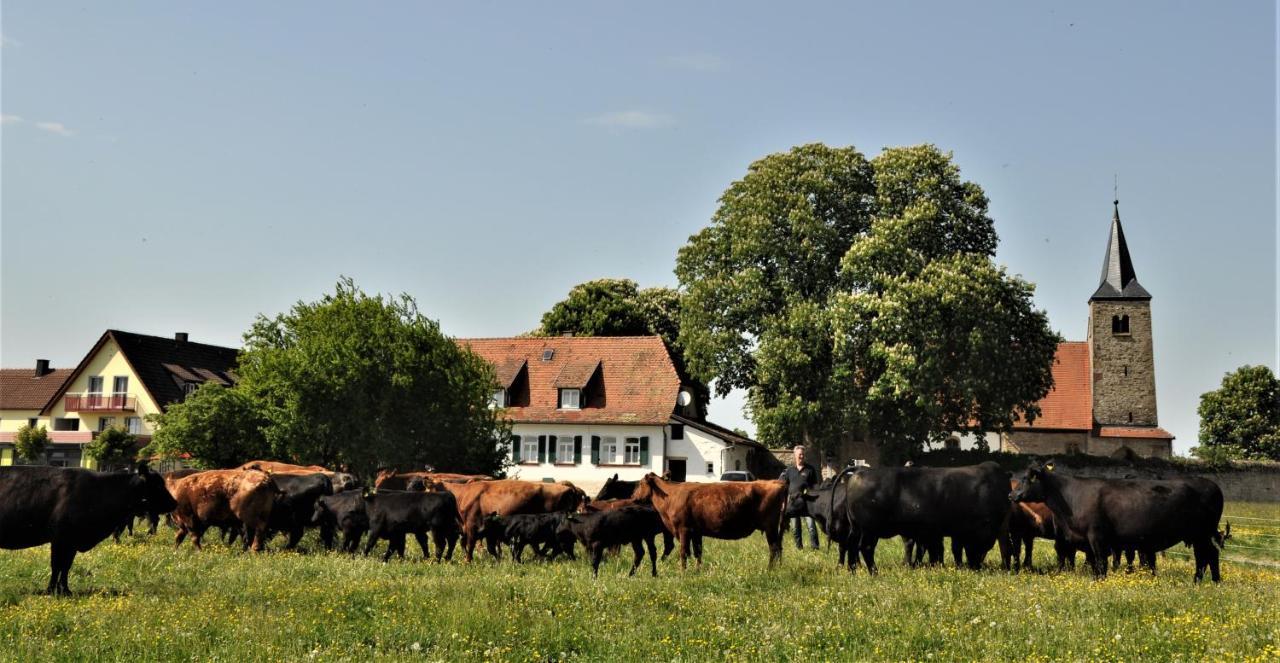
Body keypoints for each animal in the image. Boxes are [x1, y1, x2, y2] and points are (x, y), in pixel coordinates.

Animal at [0, 463, 175, 599]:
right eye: (157, 485)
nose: (174, 503)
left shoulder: (72, 542)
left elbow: (66, 566)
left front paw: (65, 590)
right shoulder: (60, 539)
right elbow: (56, 566)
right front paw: (50, 590)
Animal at [445, 481, 588, 563]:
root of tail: (568, 488)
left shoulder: (471, 527)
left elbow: (470, 545)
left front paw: (467, 561)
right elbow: (487, 548)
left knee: (555, 547)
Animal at [834, 463, 1013, 575]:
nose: (976, 567)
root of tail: (861, 471)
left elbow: (951, 550)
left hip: (856, 528)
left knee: (851, 546)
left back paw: (852, 571)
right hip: (870, 530)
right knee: (866, 548)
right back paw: (874, 572)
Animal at [1008, 463, 1218, 583]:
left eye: (1026, 479)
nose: (1011, 494)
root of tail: (1210, 484)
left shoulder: (1097, 536)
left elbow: (1100, 562)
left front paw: (1100, 582)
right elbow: (1092, 562)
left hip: (1202, 534)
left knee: (1207, 555)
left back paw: (1203, 580)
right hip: (1199, 535)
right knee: (1207, 555)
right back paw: (1210, 581)